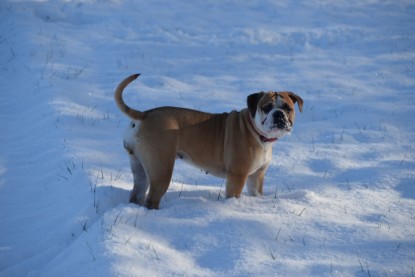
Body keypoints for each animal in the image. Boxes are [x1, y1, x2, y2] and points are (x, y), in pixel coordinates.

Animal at [115, 73, 304, 207]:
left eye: (287, 108)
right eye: (266, 108)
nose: (279, 114)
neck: (256, 131)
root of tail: (144, 115)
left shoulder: (257, 176)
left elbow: (256, 192)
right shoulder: (237, 176)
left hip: (139, 166)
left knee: (138, 191)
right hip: (161, 167)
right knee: (152, 198)